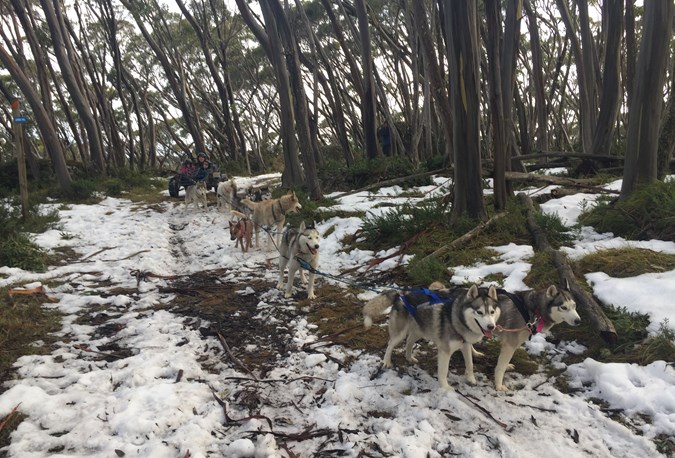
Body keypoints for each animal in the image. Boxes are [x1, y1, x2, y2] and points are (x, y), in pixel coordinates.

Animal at [364, 286, 502, 390]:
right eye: (479, 312)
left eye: (492, 312)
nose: (491, 326)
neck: (457, 320)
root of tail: (401, 294)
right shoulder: (445, 351)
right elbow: (443, 371)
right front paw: (445, 387)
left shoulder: (466, 344)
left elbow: (470, 364)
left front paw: (471, 379)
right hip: (400, 334)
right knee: (390, 344)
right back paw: (387, 361)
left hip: (419, 331)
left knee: (409, 342)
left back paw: (409, 357)